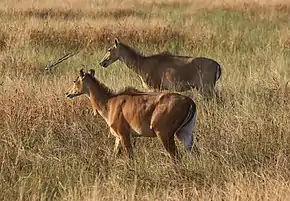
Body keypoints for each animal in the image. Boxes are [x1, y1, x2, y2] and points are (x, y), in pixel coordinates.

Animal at [64, 68, 198, 163]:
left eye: (75, 81)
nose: (67, 93)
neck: (108, 102)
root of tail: (190, 102)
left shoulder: (124, 134)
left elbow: (130, 157)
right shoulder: (118, 137)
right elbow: (114, 155)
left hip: (164, 133)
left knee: (175, 157)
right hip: (184, 132)